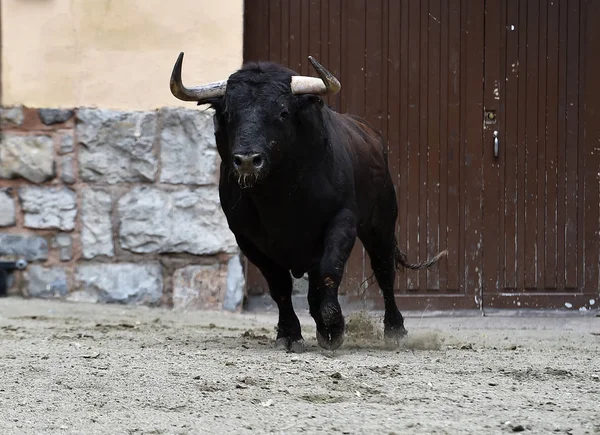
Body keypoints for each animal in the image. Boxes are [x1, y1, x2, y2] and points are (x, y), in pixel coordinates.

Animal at [169, 54, 446, 352]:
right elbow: (279, 285)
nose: (247, 161)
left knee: (384, 271)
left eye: (282, 113)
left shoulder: (342, 221)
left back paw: (394, 330)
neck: (278, 196)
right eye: (228, 114)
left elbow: (330, 271)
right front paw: (290, 333)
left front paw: (333, 327)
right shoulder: (246, 238)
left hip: (381, 224)